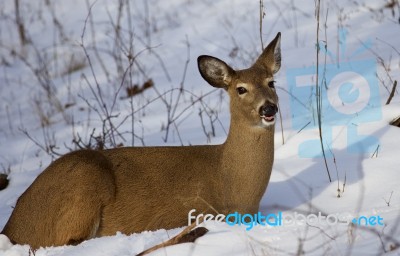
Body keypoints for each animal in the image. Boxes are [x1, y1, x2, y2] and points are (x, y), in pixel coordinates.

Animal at [0, 32, 282, 250]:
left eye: (271, 82)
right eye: (241, 89)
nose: (268, 108)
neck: (231, 181)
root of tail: (12, 227)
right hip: (82, 184)